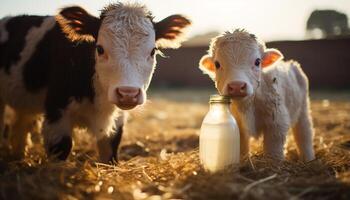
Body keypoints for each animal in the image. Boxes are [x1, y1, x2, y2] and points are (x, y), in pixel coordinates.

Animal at [0, 2, 190, 162]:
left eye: (153, 51)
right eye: (99, 49)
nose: (128, 94)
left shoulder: (117, 122)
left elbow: (110, 154)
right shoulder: (57, 112)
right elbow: (61, 149)